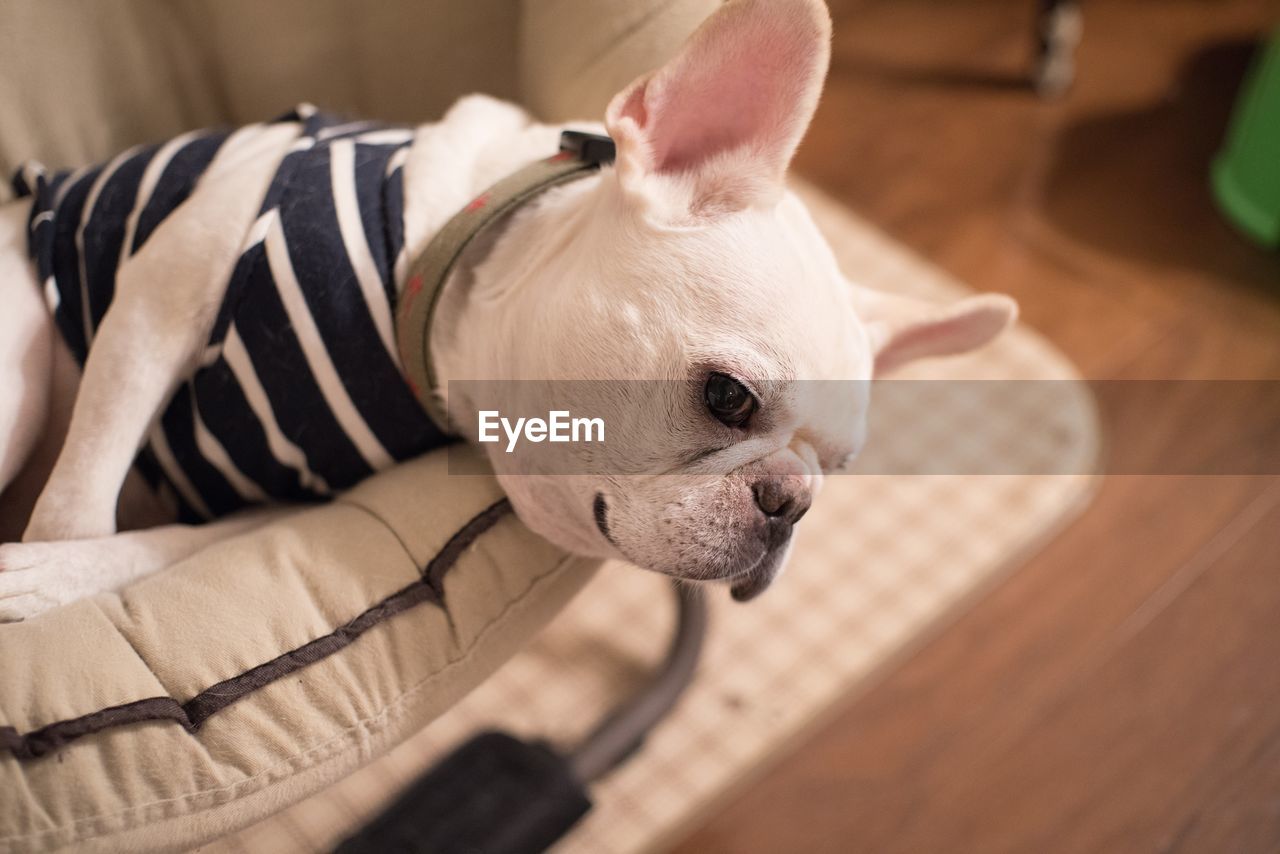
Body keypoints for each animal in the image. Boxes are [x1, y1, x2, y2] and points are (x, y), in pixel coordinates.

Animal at [2, 0, 1018, 617]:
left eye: (837, 474)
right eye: (727, 397)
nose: (791, 502)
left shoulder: (290, 502)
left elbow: (170, 545)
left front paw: (56, 585)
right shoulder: (170, 281)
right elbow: (84, 492)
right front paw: (54, 569)